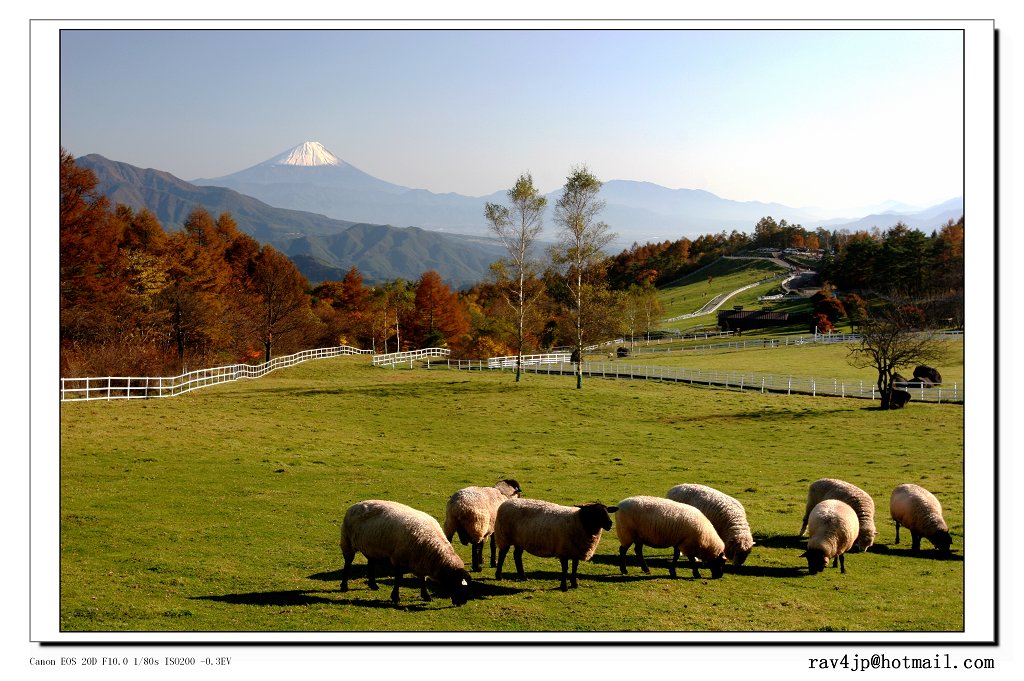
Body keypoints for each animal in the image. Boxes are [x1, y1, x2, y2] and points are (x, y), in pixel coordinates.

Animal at [342, 497, 473, 602]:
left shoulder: (420, 560)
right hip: (347, 541)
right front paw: (395, 597)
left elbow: (422, 579)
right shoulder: (398, 558)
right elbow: (399, 579)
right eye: (457, 584)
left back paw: (373, 585)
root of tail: (355, 505)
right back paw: (344, 586)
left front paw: (426, 596)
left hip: (372, 547)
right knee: (348, 564)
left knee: (371, 562)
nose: (462, 603)